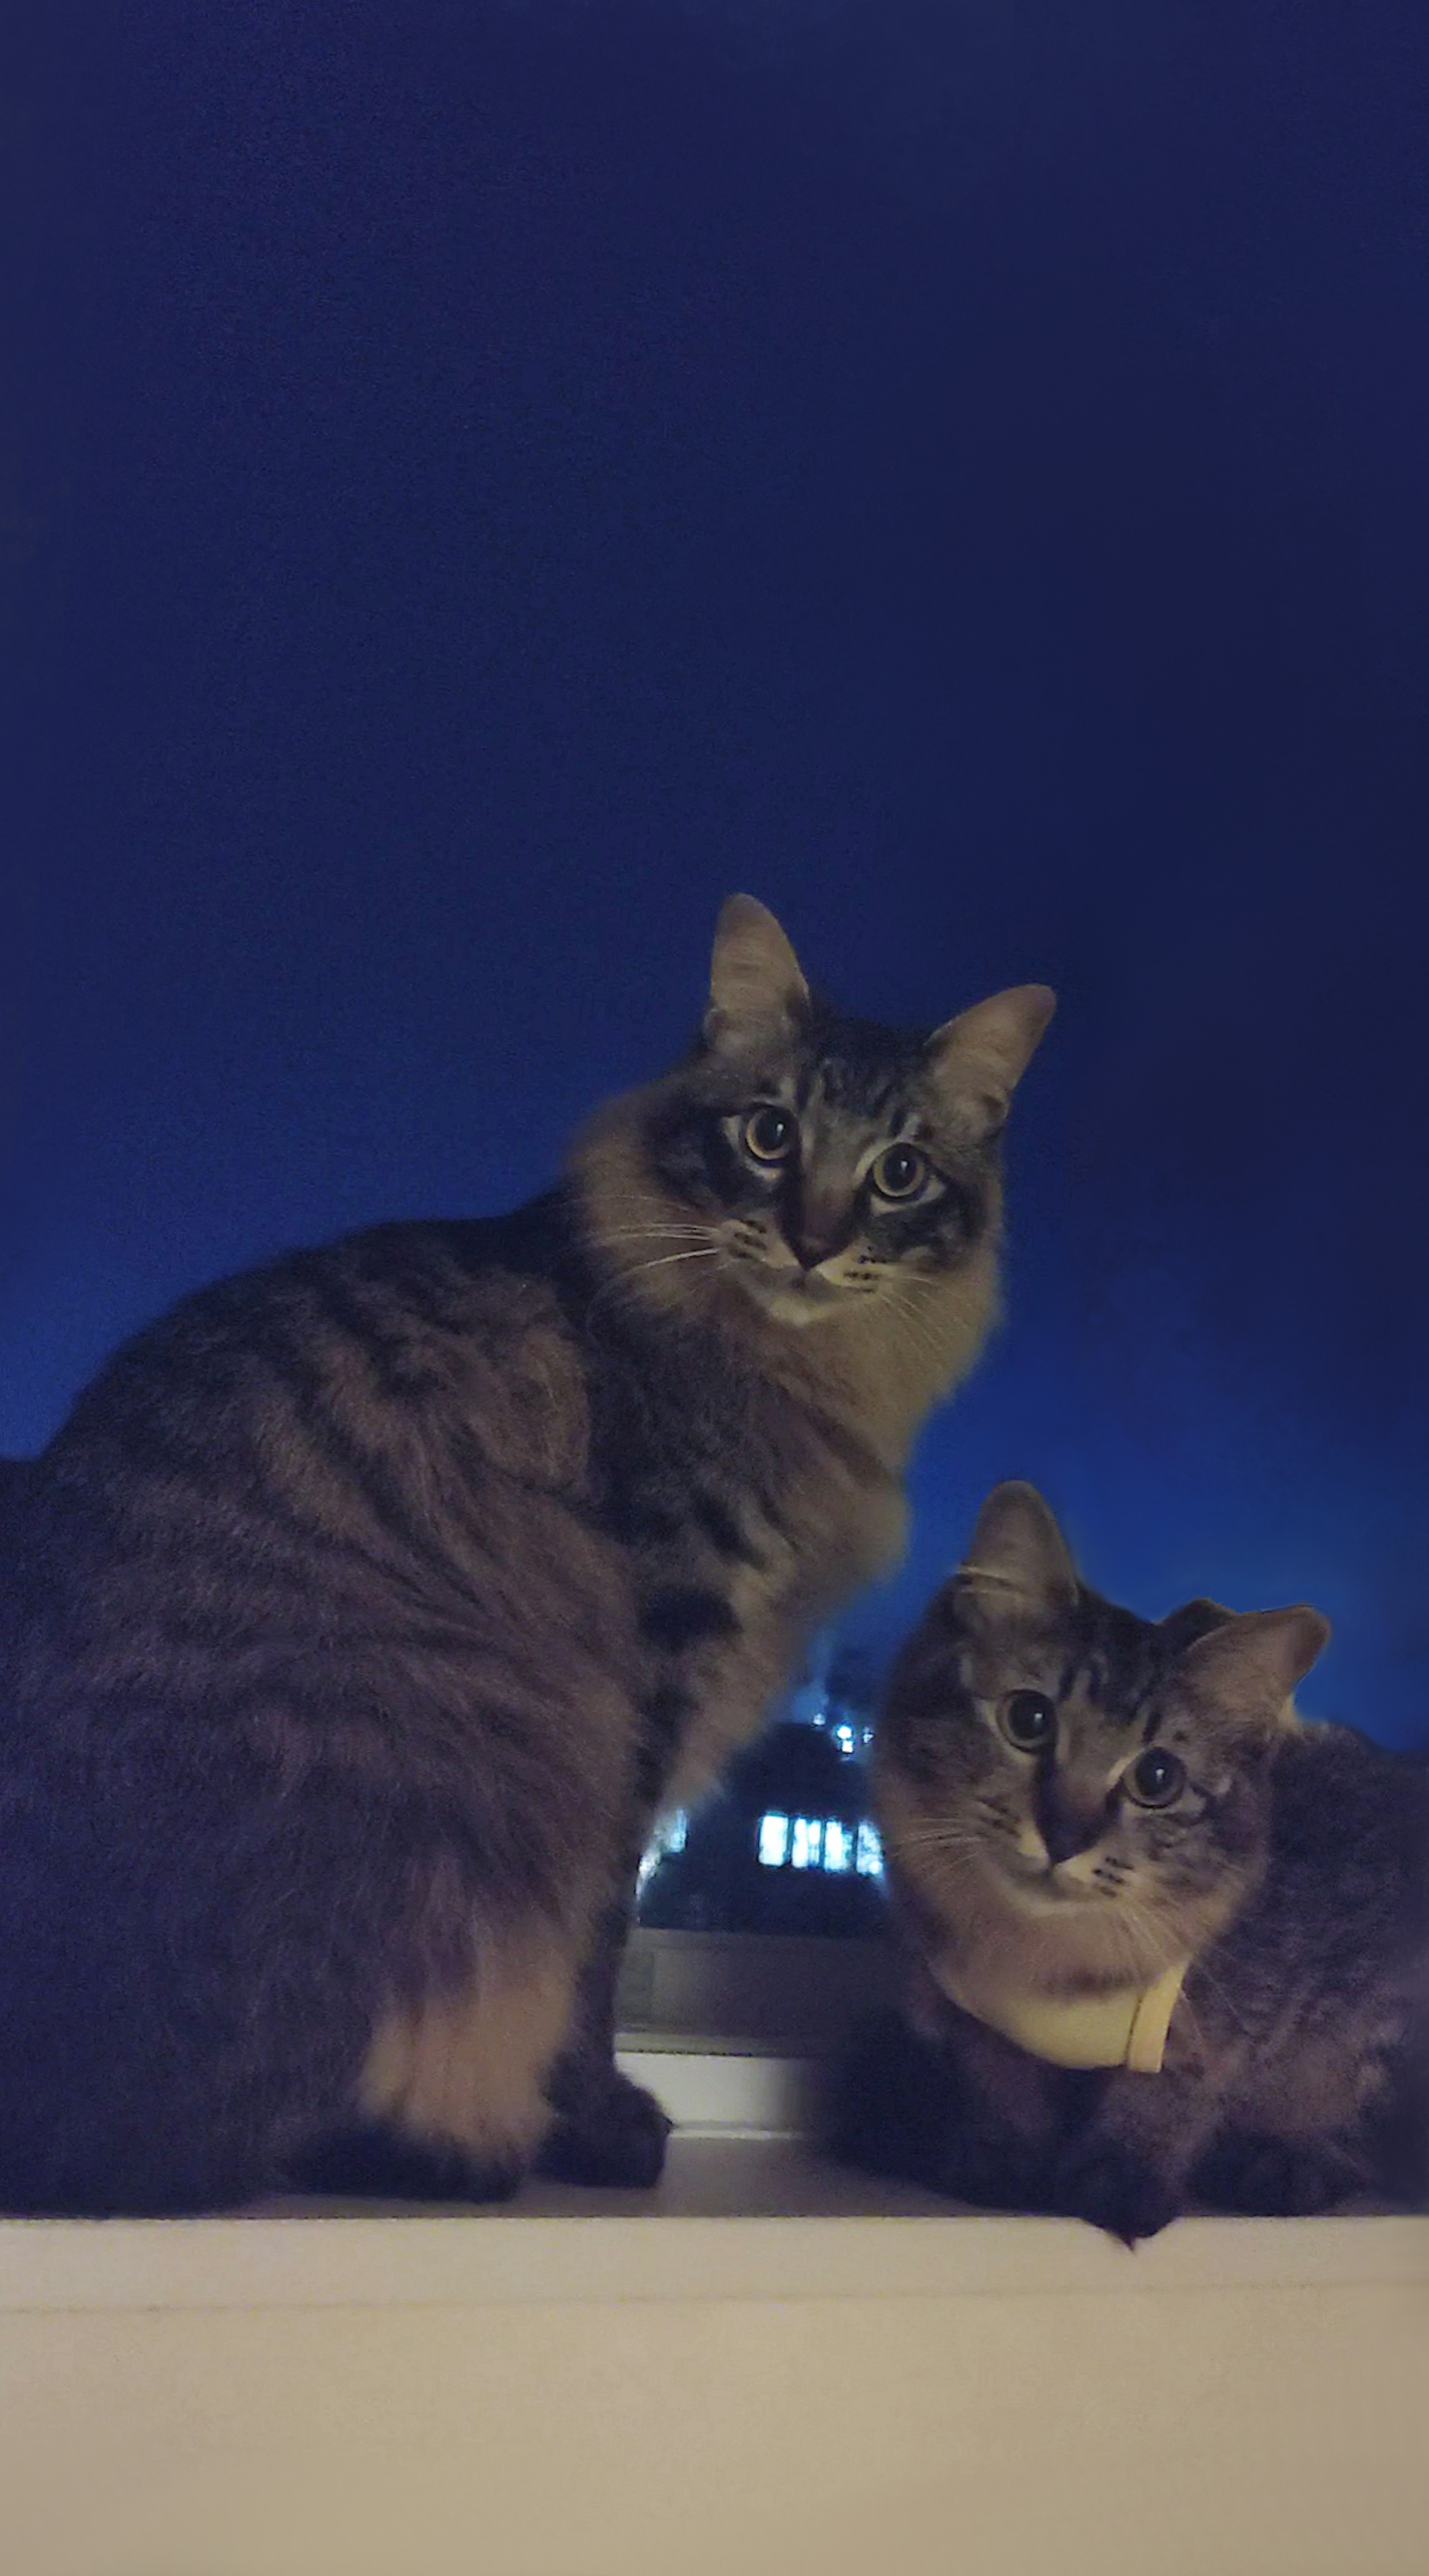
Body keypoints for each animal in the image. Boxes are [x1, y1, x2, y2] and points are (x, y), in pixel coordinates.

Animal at [0, 896, 1050, 2205]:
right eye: (769, 1135)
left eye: (898, 1171)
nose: (812, 1242)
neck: (785, 1361)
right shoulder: (656, 1677)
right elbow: (598, 1953)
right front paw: (594, 2121)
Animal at [834, 1484, 1421, 2246]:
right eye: (1029, 1720)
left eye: (1158, 1777)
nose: (1063, 1836)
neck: (1046, 1959)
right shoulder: (972, 2020)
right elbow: (1001, 2088)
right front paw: (1003, 2158)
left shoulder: (1229, 2026)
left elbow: (1167, 2100)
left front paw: (1122, 2181)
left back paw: (1285, 2162)